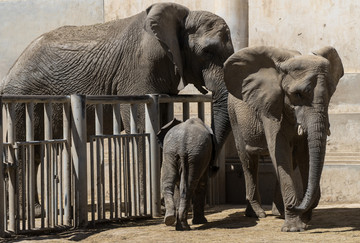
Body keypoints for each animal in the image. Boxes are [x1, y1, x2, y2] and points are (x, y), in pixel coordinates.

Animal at [0, 2, 233, 216]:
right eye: (206, 52)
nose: (215, 169)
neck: (182, 18)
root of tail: (11, 70)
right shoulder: (139, 69)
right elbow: (143, 129)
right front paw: (147, 209)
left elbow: (162, 127)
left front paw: (162, 205)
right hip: (22, 98)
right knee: (25, 149)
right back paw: (28, 214)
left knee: (35, 151)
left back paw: (34, 212)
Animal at [224, 46, 344, 232]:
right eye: (298, 94)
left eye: (331, 94)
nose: (299, 207)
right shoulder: (270, 105)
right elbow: (280, 149)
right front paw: (294, 228)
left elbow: (304, 154)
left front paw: (303, 220)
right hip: (234, 115)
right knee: (248, 161)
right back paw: (257, 214)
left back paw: (278, 212)